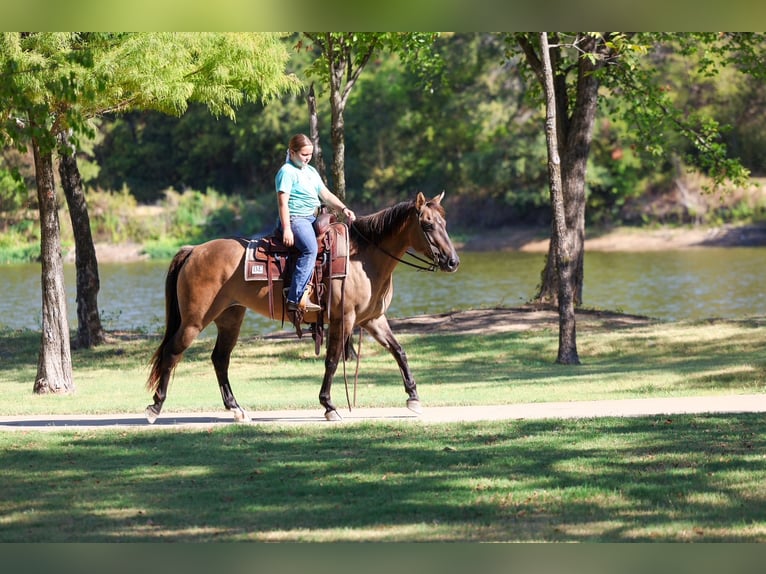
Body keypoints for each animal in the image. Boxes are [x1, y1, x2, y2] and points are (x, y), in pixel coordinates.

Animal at [145, 191, 460, 423]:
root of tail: (195, 250)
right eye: (427, 225)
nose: (453, 261)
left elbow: (399, 351)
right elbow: (332, 360)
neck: (363, 258)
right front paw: (329, 406)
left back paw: (236, 409)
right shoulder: (344, 319)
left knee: (220, 359)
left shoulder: (372, 319)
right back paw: (155, 408)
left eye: (445, 224)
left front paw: (413, 398)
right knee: (173, 352)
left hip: (229, 318)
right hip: (195, 320)